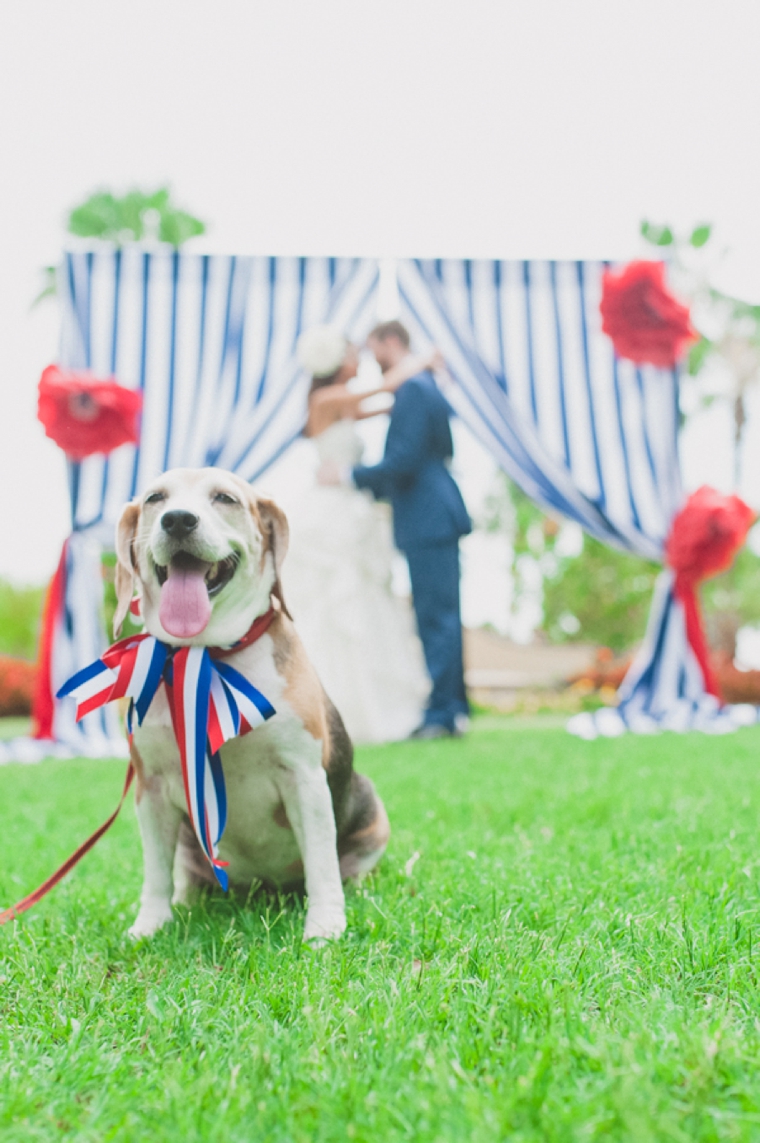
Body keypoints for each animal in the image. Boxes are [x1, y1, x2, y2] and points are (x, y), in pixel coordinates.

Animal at [115, 468, 388, 941]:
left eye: (225, 498)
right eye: (154, 499)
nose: (178, 519)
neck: (207, 652)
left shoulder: (304, 779)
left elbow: (322, 865)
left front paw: (324, 927)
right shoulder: (151, 787)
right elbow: (156, 874)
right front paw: (149, 926)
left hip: (372, 812)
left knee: (345, 868)